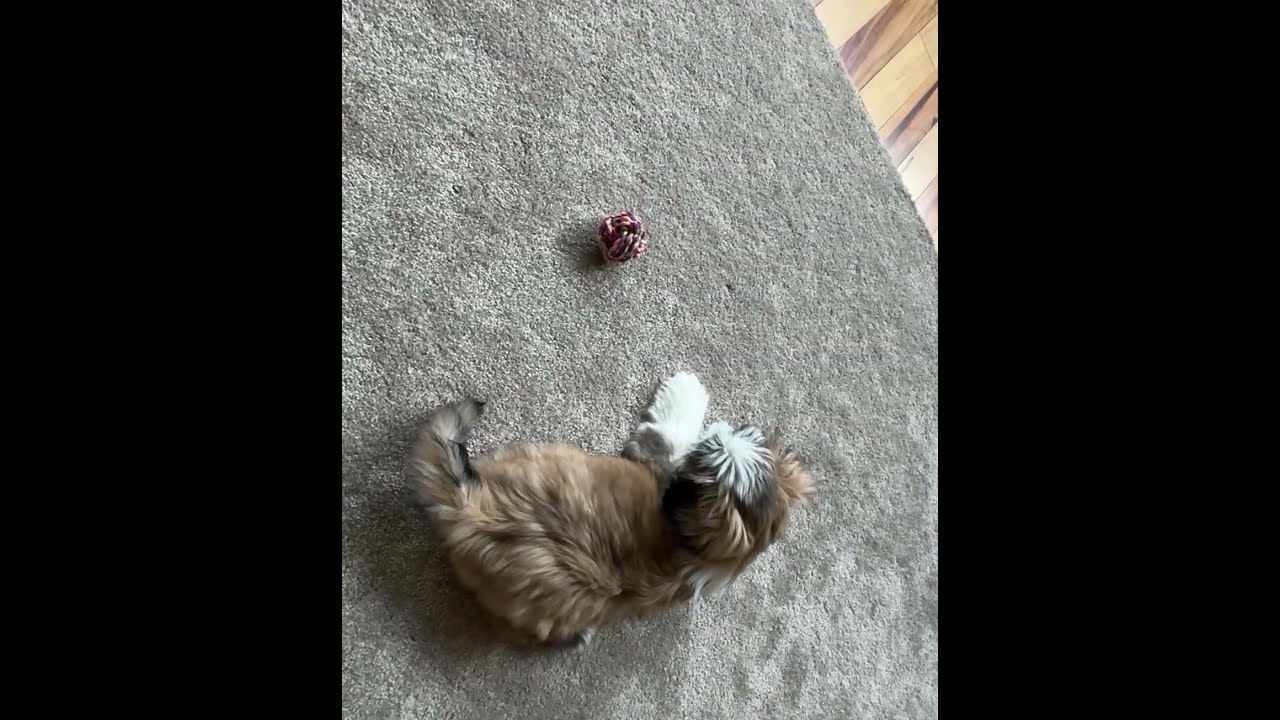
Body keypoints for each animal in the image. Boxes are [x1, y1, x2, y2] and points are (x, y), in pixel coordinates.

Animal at [407, 372, 815, 647]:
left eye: (710, 455)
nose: (719, 432)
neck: (708, 552)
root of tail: (474, 512)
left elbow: (670, 437)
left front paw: (687, 390)